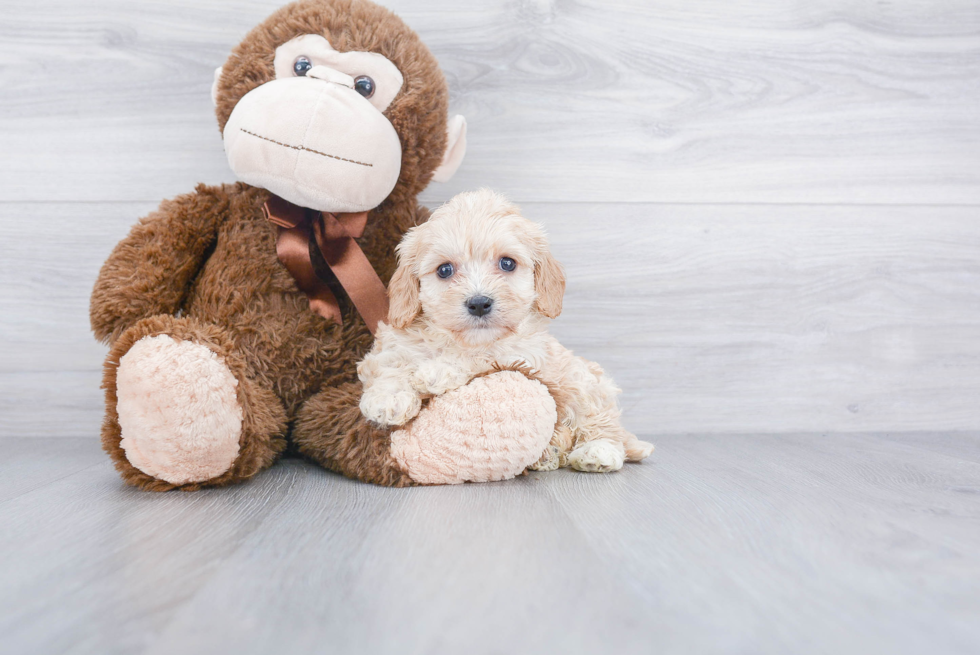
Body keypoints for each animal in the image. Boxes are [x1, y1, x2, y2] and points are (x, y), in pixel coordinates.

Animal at [356, 188, 656, 472]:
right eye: (444, 270)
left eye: (507, 263)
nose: (479, 303)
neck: (458, 340)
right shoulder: (393, 344)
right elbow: (390, 364)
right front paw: (388, 399)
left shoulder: (523, 355)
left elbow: (483, 355)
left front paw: (438, 371)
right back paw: (550, 455)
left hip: (585, 384)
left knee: (602, 423)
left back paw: (597, 452)